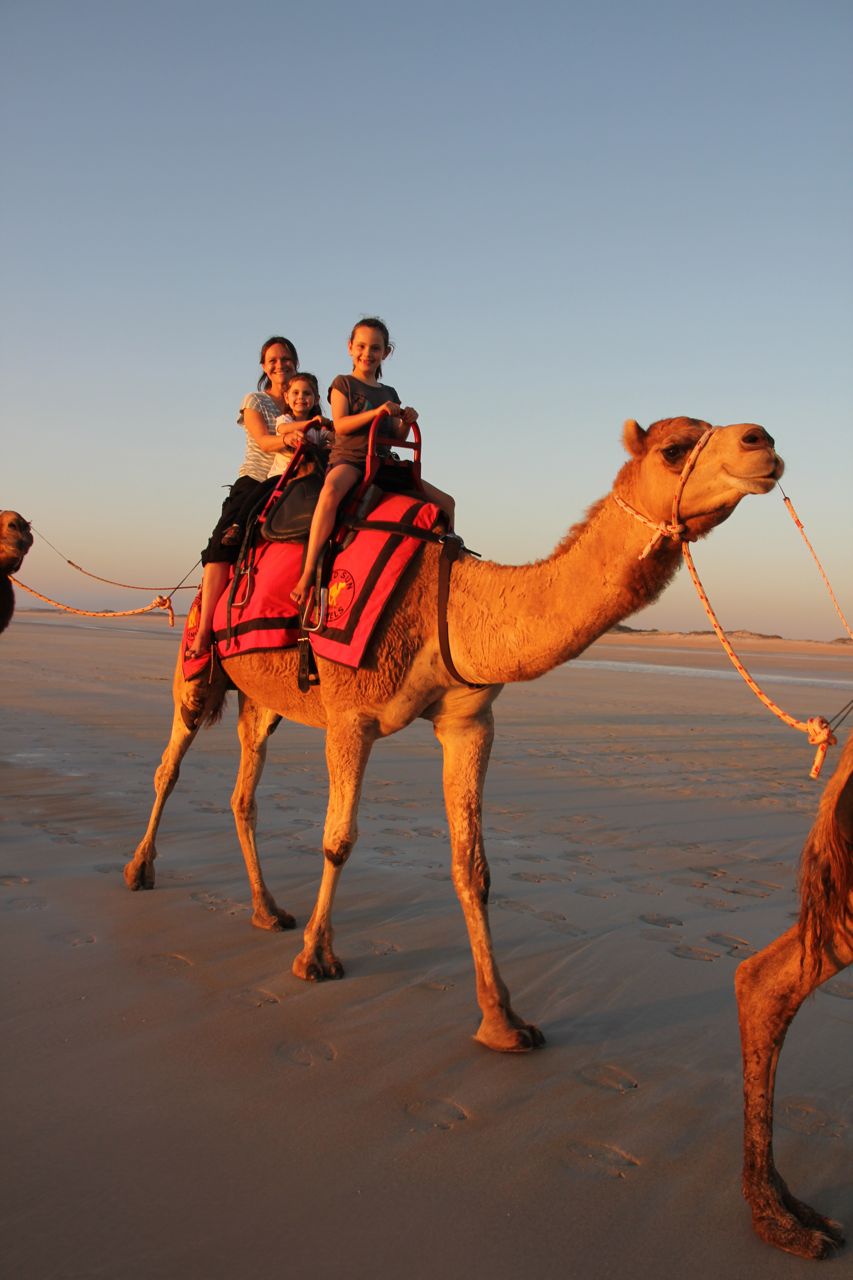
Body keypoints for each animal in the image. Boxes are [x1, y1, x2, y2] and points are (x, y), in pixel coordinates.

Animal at [126, 416, 783, 1053]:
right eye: (674, 449)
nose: (764, 442)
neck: (446, 604)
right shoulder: (351, 715)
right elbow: (338, 839)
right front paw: (316, 958)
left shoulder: (469, 723)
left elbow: (474, 867)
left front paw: (503, 1020)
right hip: (198, 665)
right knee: (170, 765)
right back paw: (140, 871)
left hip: (264, 699)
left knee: (244, 789)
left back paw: (266, 910)